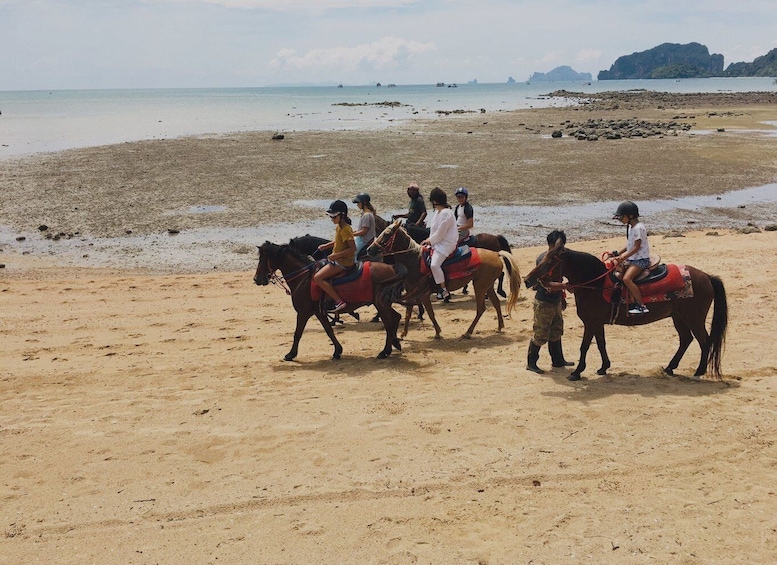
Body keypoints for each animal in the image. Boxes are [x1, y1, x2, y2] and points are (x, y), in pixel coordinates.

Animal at [255, 240, 410, 360]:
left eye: (262, 259)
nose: (256, 279)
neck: (304, 277)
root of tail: (392, 268)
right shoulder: (319, 312)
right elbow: (328, 330)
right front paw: (337, 351)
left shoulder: (303, 312)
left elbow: (297, 333)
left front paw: (291, 354)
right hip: (382, 304)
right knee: (395, 318)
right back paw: (393, 345)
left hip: (381, 304)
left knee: (390, 322)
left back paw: (385, 351)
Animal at [366, 219, 520, 334]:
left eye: (387, 234)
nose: (369, 249)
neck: (415, 260)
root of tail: (496, 254)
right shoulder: (411, 292)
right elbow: (409, 313)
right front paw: (404, 334)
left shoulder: (423, 294)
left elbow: (430, 313)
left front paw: (438, 332)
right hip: (486, 285)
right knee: (495, 303)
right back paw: (499, 326)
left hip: (480, 286)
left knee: (481, 308)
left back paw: (468, 332)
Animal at [520, 240, 728, 382]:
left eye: (549, 263)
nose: (527, 280)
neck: (596, 284)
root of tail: (707, 277)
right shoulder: (597, 323)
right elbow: (601, 344)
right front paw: (603, 368)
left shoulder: (591, 323)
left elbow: (585, 346)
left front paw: (577, 372)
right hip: (679, 317)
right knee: (686, 340)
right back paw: (670, 368)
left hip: (694, 318)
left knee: (704, 341)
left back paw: (699, 371)